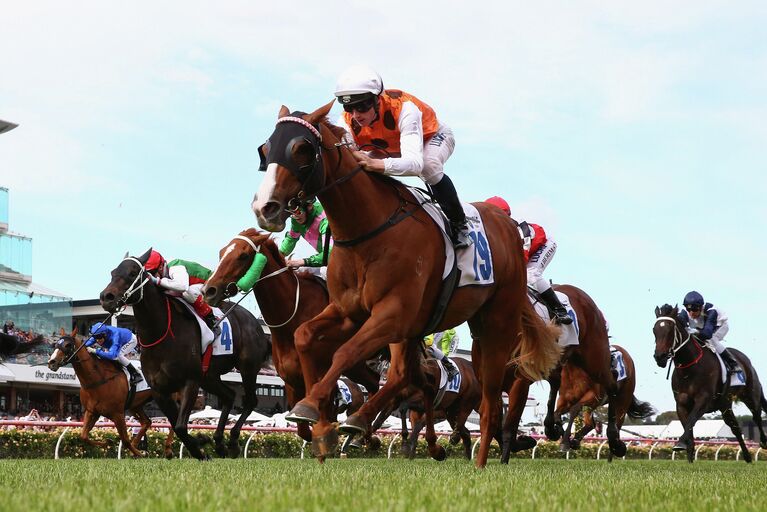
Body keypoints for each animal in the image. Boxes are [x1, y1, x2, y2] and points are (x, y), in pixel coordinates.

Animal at [46, 330, 176, 458]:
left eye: (67, 345)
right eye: (55, 344)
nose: (51, 362)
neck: (98, 379)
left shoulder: (117, 414)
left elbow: (125, 440)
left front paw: (140, 453)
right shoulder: (92, 411)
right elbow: (84, 436)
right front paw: (109, 442)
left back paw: (168, 450)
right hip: (136, 404)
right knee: (146, 422)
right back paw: (138, 444)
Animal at [100, 251, 270, 460]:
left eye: (132, 273)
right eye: (113, 272)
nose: (106, 297)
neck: (161, 334)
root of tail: (256, 323)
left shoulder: (190, 382)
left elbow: (180, 426)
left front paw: (200, 449)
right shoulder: (160, 391)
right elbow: (176, 425)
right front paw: (200, 442)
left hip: (247, 368)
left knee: (250, 401)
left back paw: (232, 442)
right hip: (209, 377)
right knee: (229, 396)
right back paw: (219, 442)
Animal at [198, 230, 378, 446]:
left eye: (243, 255)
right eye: (221, 253)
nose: (208, 291)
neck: (295, 315)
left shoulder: (322, 379)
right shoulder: (291, 381)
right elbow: (304, 430)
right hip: (355, 366)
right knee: (374, 381)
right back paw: (366, 435)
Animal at [252, 103, 560, 468]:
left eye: (301, 148)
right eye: (265, 149)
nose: (265, 207)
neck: (368, 230)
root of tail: (508, 225)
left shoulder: (392, 313)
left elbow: (345, 351)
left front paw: (313, 408)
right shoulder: (348, 312)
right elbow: (305, 336)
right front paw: (321, 424)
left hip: (495, 323)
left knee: (487, 400)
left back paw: (480, 459)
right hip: (438, 327)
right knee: (407, 376)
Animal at [656, 304, 767, 464]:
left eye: (670, 330)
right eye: (654, 330)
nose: (659, 357)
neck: (690, 368)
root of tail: (746, 361)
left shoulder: (703, 400)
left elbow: (691, 421)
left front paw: (680, 443)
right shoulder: (681, 404)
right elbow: (688, 425)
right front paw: (689, 457)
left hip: (750, 395)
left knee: (757, 416)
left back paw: (763, 442)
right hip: (725, 404)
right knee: (735, 427)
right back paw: (747, 457)